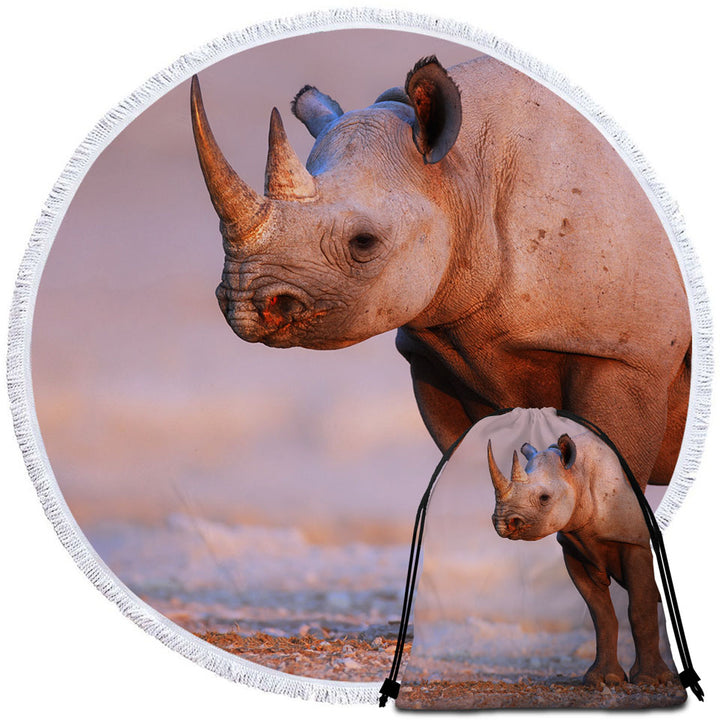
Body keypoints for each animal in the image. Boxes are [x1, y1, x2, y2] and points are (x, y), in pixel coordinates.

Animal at [487, 434, 675, 687]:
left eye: (544, 498)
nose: (503, 523)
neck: (578, 475)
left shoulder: (635, 544)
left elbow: (640, 609)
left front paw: (651, 680)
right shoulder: (575, 549)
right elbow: (601, 614)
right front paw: (604, 679)